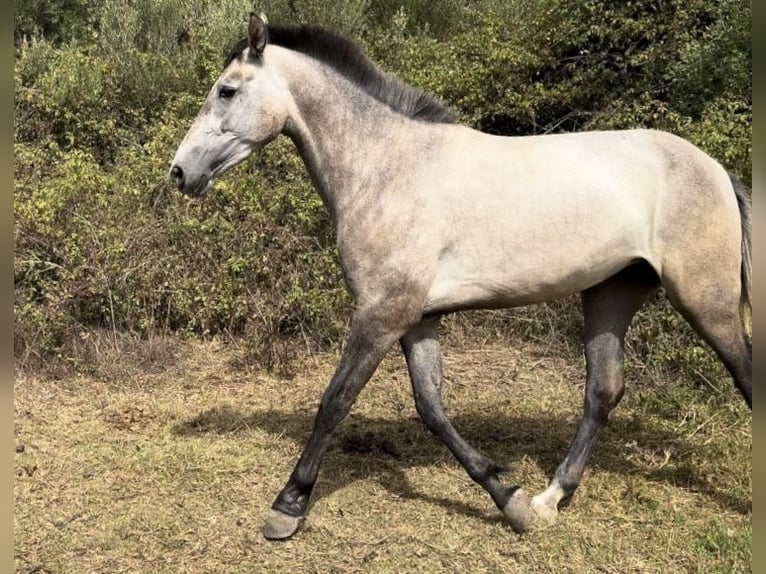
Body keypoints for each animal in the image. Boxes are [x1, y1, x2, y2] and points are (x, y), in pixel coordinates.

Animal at [171, 13, 752, 544]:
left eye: (226, 90)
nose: (180, 172)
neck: (387, 167)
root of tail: (716, 170)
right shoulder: (417, 319)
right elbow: (431, 409)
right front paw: (509, 499)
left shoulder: (381, 313)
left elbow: (335, 401)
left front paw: (288, 506)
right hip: (611, 294)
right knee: (602, 392)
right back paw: (549, 499)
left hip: (707, 300)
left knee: (743, 376)